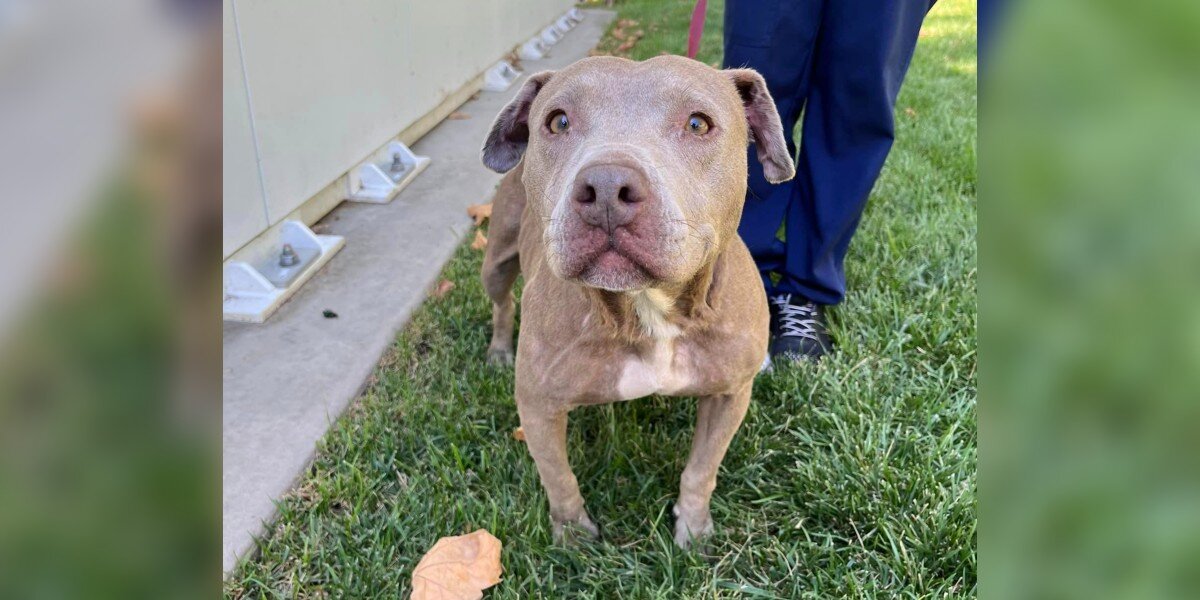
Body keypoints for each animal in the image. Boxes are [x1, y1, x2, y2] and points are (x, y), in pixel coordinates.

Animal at [477, 56, 796, 549]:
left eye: (698, 123)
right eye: (558, 121)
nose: (607, 188)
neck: (644, 310)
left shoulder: (729, 395)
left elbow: (702, 469)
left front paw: (694, 530)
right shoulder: (538, 404)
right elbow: (559, 477)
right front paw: (574, 537)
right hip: (496, 263)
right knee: (501, 304)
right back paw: (497, 350)